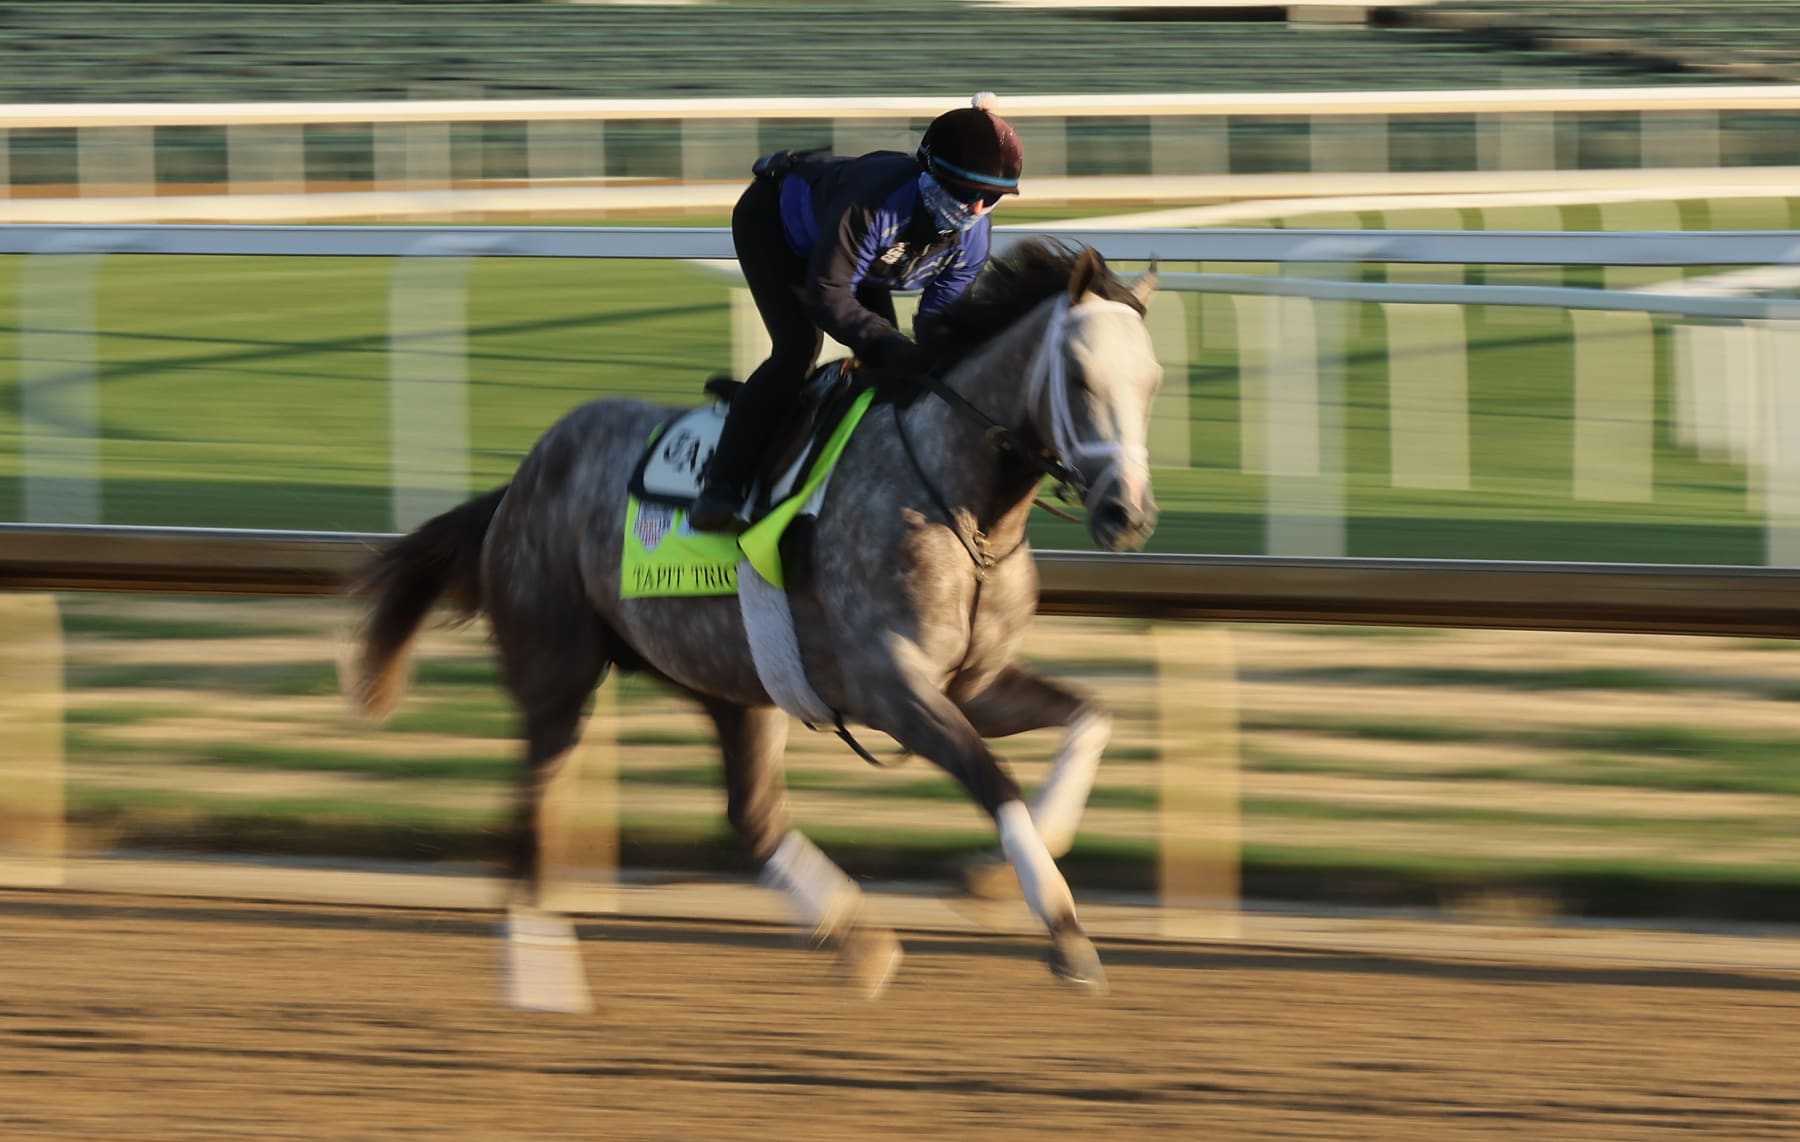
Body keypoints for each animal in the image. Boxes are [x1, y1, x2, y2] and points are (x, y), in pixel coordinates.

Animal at [351, 237, 1166, 994]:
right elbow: (994, 781)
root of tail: (518, 482)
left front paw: (994, 876)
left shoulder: (973, 683)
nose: (1127, 515)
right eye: (1080, 376)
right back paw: (539, 975)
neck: (962, 504)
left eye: (1153, 382)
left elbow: (1090, 718)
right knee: (531, 806)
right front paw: (1062, 929)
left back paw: (859, 941)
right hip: (557, 669)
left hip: (733, 678)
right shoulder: (892, 689)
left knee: (749, 813)